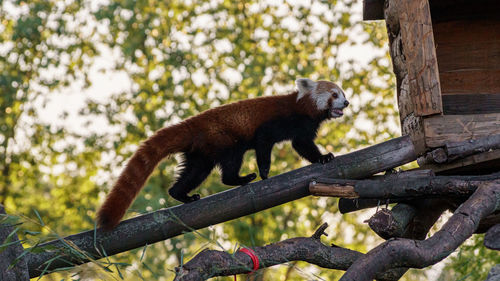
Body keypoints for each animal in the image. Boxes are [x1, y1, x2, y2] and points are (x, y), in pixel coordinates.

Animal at [96, 77, 348, 229]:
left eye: (342, 93)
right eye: (334, 94)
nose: (346, 103)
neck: (302, 109)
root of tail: (192, 125)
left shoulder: (303, 128)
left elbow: (303, 145)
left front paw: (322, 157)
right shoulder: (274, 123)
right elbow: (264, 144)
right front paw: (265, 172)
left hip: (201, 155)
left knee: (194, 174)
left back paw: (182, 194)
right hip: (224, 141)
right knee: (229, 166)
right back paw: (242, 178)